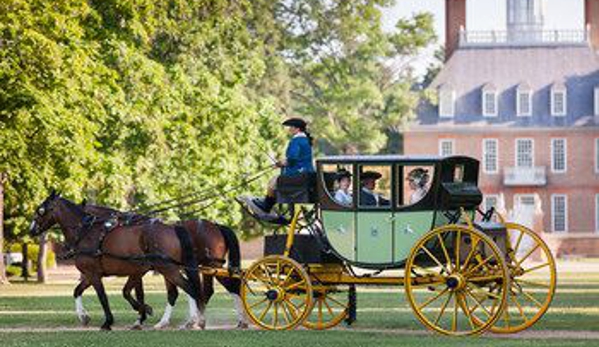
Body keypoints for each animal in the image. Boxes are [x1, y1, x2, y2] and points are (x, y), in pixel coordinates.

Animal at [31, 193, 209, 332]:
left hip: (168, 268)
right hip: (169, 269)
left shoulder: (94, 274)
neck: (86, 231)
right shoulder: (94, 274)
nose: (31, 230)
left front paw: (109, 322)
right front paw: (84, 316)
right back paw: (177, 321)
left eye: (41, 210)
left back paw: (195, 321)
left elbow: (104, 296)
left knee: (189, 289)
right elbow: (78, 291)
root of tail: (172, 227)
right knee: (179, 292)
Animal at [78, 203, 247, 330]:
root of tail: (216, 226)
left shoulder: (140, 270)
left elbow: (134, 292)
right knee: (210, 289)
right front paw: (142, 315)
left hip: (207, 266)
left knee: (217, 288)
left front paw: (141, 316)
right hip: (204, 267)